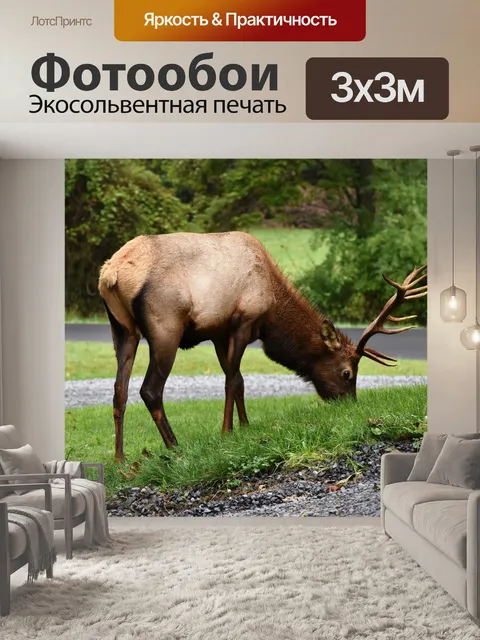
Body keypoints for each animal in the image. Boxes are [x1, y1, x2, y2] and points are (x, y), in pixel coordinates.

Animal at [98, 231, 427, 463]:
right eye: (347, 373)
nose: (350, 405)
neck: (273, 309)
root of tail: (110, 275)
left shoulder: (218, 331)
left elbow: (239, 380)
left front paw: (244, 426)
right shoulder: (243, 320)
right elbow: (232, 380)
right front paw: (228, 432)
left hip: (122, 329)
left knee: (119, 389)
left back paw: (119, 458)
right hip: (166, 326)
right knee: (150, 390)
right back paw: (176, 447)